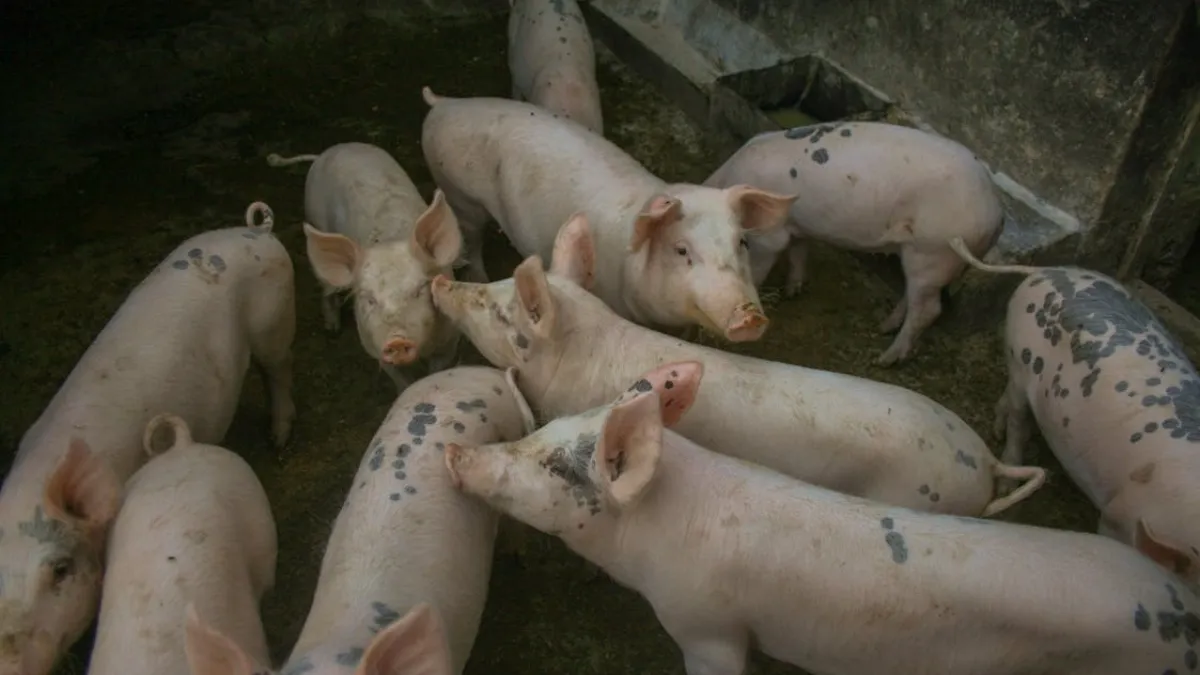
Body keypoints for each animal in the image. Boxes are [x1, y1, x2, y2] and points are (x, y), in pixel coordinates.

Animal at [266, 142, 464, 390]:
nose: (396, 340)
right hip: (314, 215)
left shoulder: (450, 341)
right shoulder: (373, 345)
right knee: (327, 288)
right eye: (368, 298)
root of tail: (329, 151)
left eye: (420, 289)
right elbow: (400, 380)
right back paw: (332, 329)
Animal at [420, 88, 797, 343]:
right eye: (681, 250)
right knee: (471, 236)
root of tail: (444, 103)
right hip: (458, 193)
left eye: (743, 242)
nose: (750, 318)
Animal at [703, 122, 1004, 365]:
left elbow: (763, 263)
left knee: (929, 310)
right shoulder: (799, 227)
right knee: (914, 296)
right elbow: (799, 253)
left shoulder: (769, 237)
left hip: (933, 250)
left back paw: (884, 360)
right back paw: (883, 326)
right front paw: (793, 292)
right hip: (924, 257)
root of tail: (996, 211)